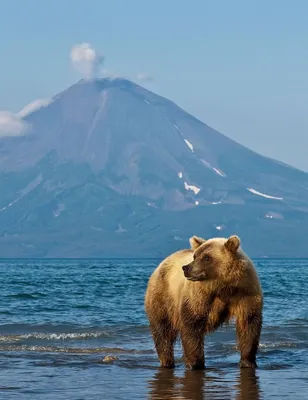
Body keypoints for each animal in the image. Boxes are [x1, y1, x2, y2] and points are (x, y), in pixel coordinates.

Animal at [144, 234, 262, 368]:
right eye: (195, 256)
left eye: (206, 257)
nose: (186, 268)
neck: (222, 285)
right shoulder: (199, 295)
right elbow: (192, 324)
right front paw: (195, 363)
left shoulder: (245, 292)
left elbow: (249, 323)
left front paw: (248, 361)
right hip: (163, 296)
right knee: (163, 330)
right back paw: (167, 361)